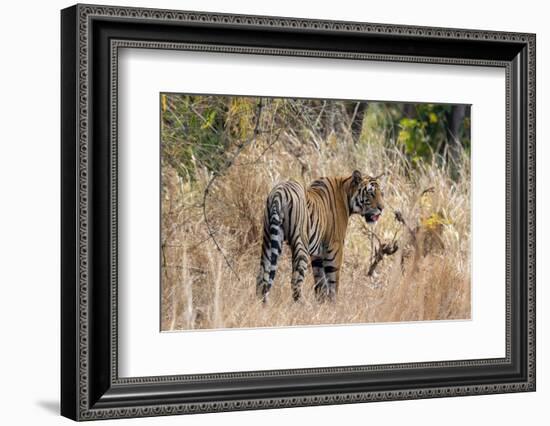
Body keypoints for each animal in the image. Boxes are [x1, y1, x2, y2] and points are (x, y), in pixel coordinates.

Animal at [256, 170, 386, 302]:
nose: (382, 208)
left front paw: (321, 302)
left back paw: (262, 303)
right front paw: (333, 303)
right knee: (295, 280)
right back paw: (302, 304)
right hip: (300, 244)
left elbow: (320, 281)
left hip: (268, 239)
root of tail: (279, 193)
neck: (347, 192)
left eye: (381, 194)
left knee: (262, 277)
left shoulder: (318, 253)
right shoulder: (335, 247)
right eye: (371, 193)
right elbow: (333, 281)